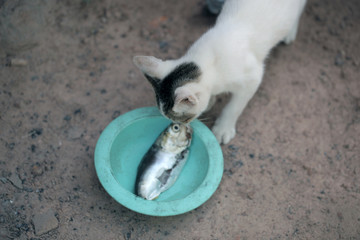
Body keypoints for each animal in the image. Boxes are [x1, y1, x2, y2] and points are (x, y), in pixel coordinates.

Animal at [134, 0, 306, 144]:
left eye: (182, 120)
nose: (175, 125)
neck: (209, 62)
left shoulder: (253, 78)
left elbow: (234, 107)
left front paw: (224, 128)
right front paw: (211, 100)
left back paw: (290, 32)